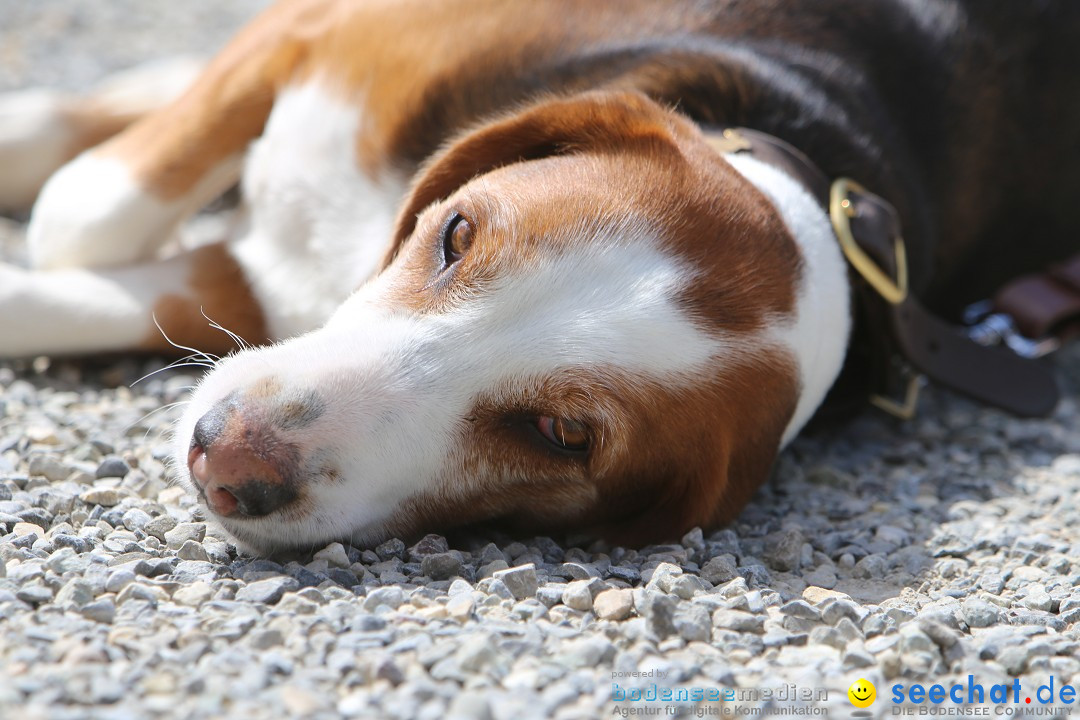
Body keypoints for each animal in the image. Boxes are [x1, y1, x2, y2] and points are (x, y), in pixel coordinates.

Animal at [2, 0, 1080, 557]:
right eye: (456, 234)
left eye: (561, 437)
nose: (226, 456)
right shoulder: (318, 35)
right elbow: (80, 214)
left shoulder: (266, 285)